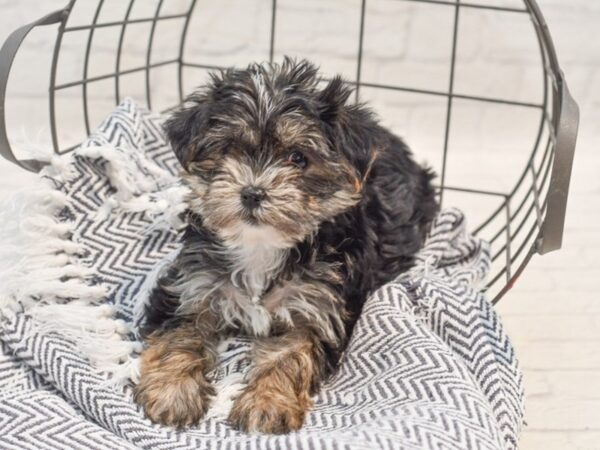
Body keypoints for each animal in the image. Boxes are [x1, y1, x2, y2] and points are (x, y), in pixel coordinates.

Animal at [134, 58, 438, 434]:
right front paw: (173, 390)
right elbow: (178, 333)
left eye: (298, 158)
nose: (252, 192)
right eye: (228, 149)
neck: (261, 246)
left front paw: (267, 403)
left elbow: (292, 352)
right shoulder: (191, 284)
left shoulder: (318, 307)